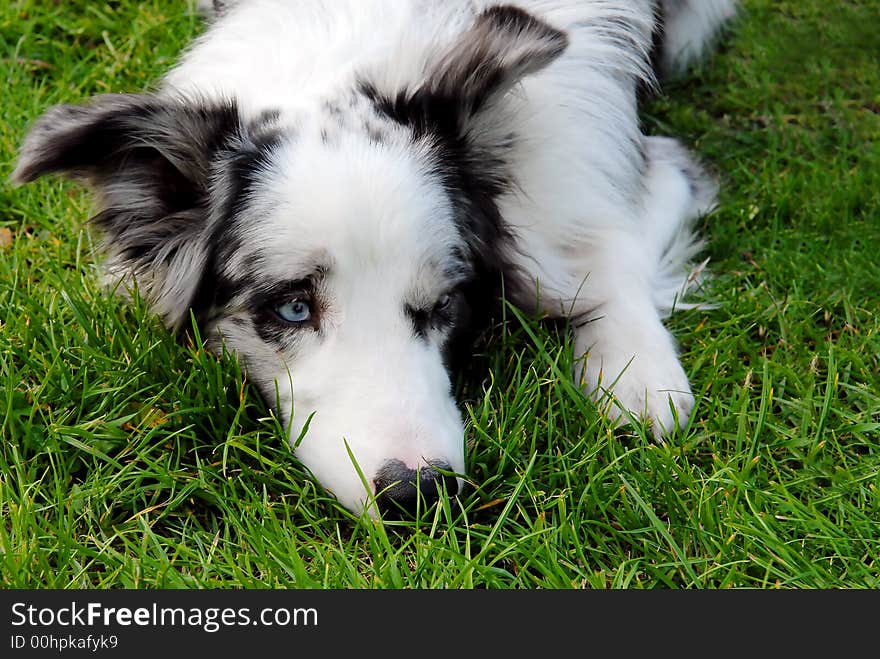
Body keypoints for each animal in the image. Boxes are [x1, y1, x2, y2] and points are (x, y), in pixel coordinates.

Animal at [15, 0, 736, 516]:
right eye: (293, 307)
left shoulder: (639, 166)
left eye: (445, 303)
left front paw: (638, 375)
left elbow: (607, 248)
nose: (418, 493)